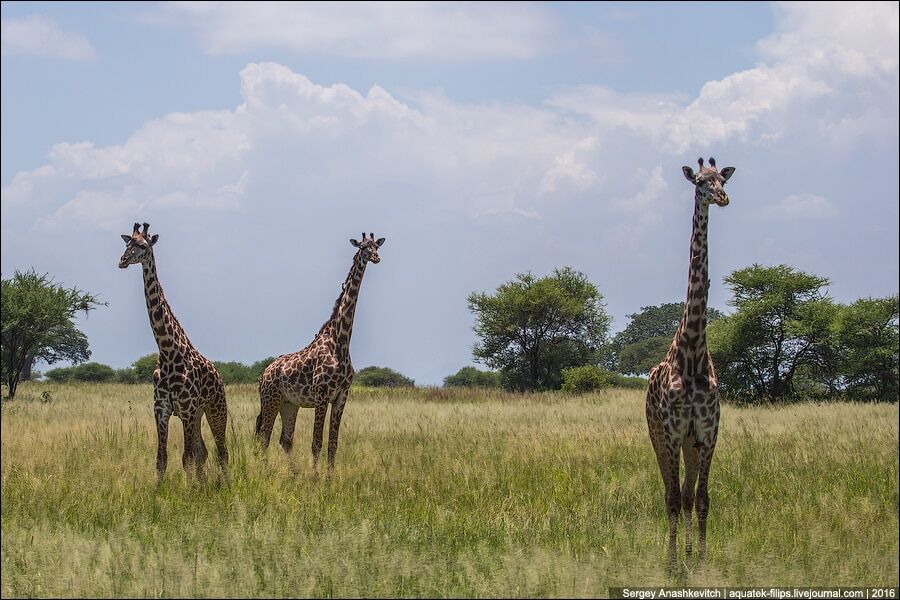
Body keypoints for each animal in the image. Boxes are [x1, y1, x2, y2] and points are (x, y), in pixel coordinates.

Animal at [118, 223, 229, 486]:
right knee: (204, 450)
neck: (168, 351)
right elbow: (162, 458)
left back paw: (225, 484)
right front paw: (160, 491)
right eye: (127, 243)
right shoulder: (162, 409)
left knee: (222, 451)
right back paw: (203, 484)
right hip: (198, 414)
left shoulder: (186, 408)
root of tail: (219, 376)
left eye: (143, 245)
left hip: (215, 409)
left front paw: (189, 491)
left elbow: (186, 457)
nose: (122, 260)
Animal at [258, 232, 388, 476]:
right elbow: (316, 441)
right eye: (363, 247)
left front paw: (329, 477)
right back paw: (267, 473)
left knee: (285, 439)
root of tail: (262, 375)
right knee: (264, 437)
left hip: (289, 403)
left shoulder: (341, 396)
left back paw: (294, 475)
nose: (376, 258)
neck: (341, 342)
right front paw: (315, 477)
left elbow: (332, 442)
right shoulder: (321, 394)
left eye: (376, 246)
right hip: (270, 399)